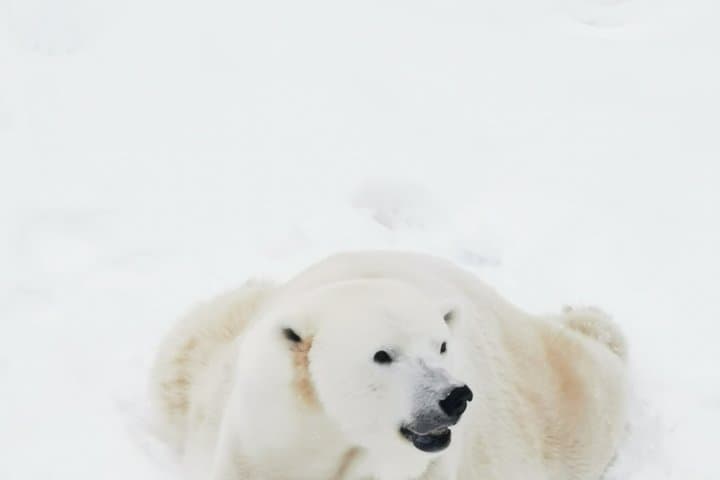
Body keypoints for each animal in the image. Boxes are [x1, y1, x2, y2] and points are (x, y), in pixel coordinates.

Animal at [151, 251, 628, 480]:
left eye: (442, 345)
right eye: (383, 354)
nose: (455, 397)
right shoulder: (265, 441)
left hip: (544, 393)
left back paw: (591, 319)